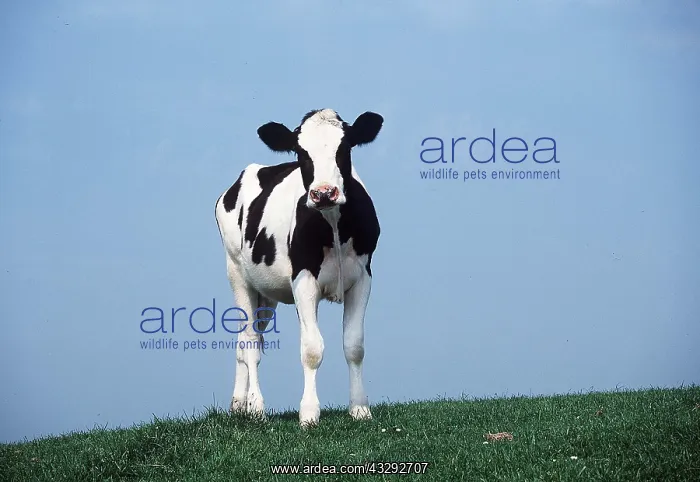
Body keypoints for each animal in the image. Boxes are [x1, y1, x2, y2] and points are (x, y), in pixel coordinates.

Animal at [214, 108, 383, 426]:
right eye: (301, 152)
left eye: (345, 147)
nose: (324, 193)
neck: (333, 224)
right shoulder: (303, 280)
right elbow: (312, 349)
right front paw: (309, 413)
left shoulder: (363, 278)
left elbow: (354, 345)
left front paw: (360, 408)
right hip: (237, 274)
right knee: (250, 342)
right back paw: (256, 407)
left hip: (265, 296)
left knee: (245, 341)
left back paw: (239, 404)